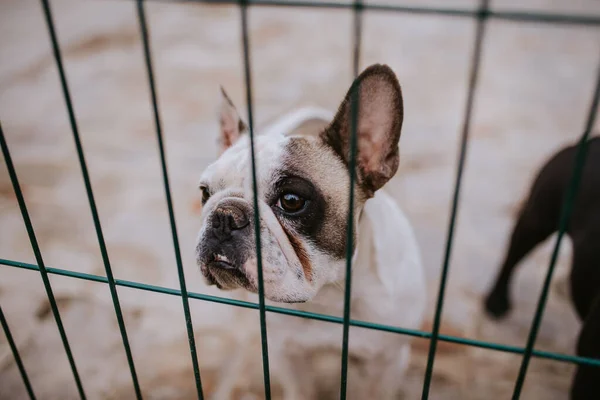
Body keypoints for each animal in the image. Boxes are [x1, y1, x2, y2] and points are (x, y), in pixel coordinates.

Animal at [195, 64, 424, 398]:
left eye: (291, 201)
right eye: (205, 192)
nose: (224, 216)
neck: (327, 294)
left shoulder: (388, 362)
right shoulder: (287, 356)